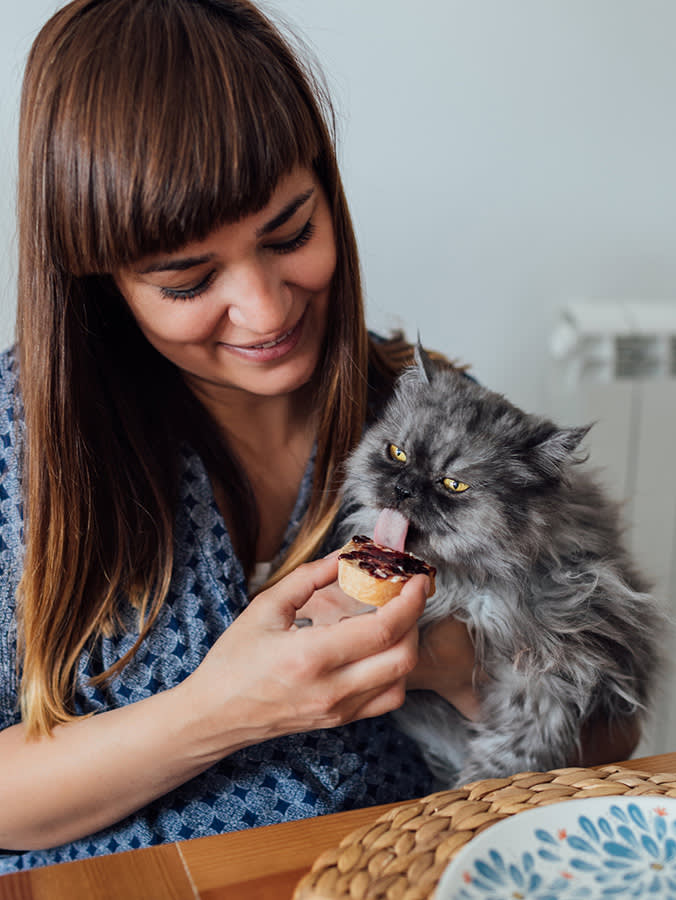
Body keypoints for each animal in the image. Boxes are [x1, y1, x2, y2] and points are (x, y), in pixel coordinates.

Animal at [338, 344, 664, 788]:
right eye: (397, 454)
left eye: (453, 485)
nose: (402, 488)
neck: (466, 584)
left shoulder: (558, 666)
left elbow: (518, 747)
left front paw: (481, 786)